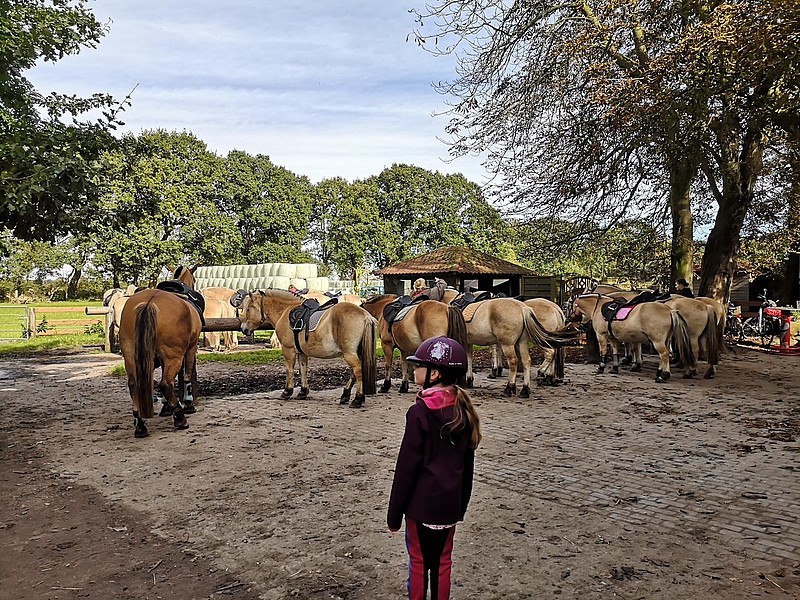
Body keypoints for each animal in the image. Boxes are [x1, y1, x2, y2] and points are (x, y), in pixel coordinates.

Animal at [119, 264, 202, 438]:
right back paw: (180, 418)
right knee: (166, 383)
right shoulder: (191, 349)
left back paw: (140, 424)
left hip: (130, 356)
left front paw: (166, 407)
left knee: (133, 384)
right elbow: (186, 376)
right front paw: (187, 404)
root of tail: (149, 303)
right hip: (174, 356)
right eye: (195, 279)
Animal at [234, 290, 378, 408]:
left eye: (248, 309)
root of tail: (365, 314)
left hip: (349, 354)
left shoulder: (288, 350)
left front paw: (287, 391)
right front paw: (303, 392)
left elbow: (289, 370)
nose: (243, 329)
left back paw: (357, 399)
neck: (285, 312)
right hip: (355, 353)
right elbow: (303, 369)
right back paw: (345, 395)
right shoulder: (302, 353)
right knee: (354, 373)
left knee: (357, 371)